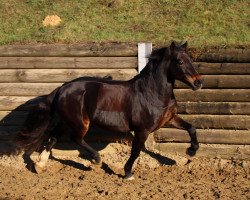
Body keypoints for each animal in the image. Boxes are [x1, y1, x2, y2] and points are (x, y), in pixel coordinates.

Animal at [14, 41, 203, 180]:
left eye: (190, 60)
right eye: (180, 61)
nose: (198, 83)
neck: (150, 93)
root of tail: (62, 88)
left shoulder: (170, 118)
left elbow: (191, 128)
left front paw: (191, 151)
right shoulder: (142, 130)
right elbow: (135, 151)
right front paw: (127, 173)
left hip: (67, 121)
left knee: (53, 137)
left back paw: (39, 166)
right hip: (79, 122)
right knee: (75, 138)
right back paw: (96, 160)